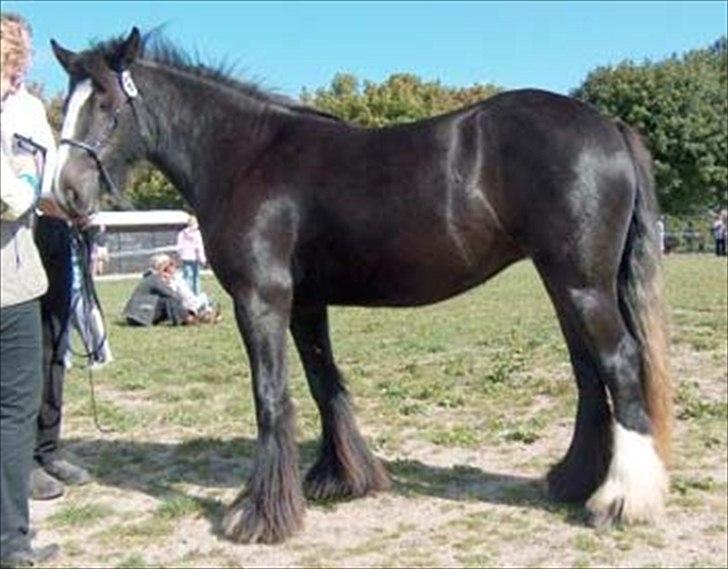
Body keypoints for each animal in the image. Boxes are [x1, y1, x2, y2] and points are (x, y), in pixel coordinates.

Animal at [51, 30, 672, 540]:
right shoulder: (305, 304)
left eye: (106, 103)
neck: (247, 156)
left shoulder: (261, 299)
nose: (66, 192)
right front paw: (342, 478)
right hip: (563, 281)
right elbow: (324, 384)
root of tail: (607, 126)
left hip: (582, 283)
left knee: (618, 362)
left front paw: (259, 515)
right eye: (66, 106)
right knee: (590, 373)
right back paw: (574, 483)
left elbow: (270, 396)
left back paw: (622, 500)